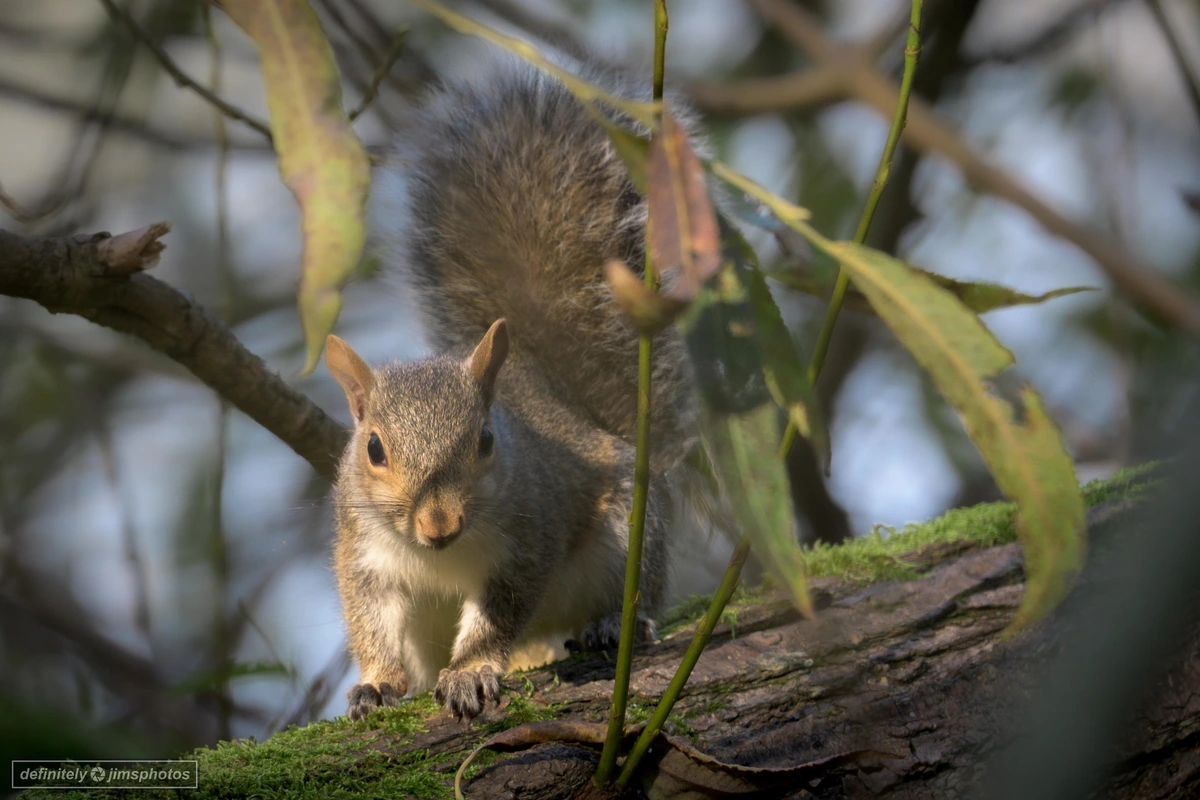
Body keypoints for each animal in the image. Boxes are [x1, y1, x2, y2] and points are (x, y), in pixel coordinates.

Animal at [324, 56, 700, 722]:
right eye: (373, 449)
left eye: (486, 441)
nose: (438, 525)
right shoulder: (364, 554)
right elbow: (371, 622)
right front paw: (377, 682)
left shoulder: (528, 536)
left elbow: (498, 616)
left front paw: (471, 672)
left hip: (630, 536)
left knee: (632, 595)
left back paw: (611, 625)